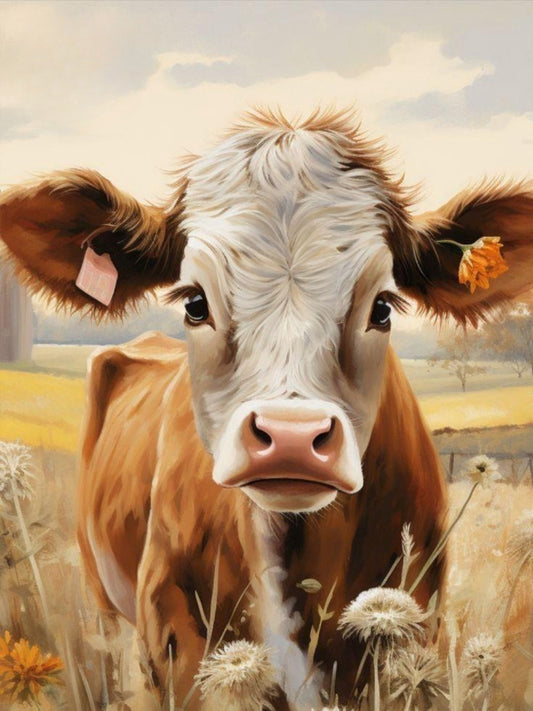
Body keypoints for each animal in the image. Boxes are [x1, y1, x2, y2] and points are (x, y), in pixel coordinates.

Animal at [0, 109, 532, 709]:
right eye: (195, 302)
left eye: (383, 307)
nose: (292, 437)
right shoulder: (169, 632)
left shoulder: (412, 630)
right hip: (104, 601)